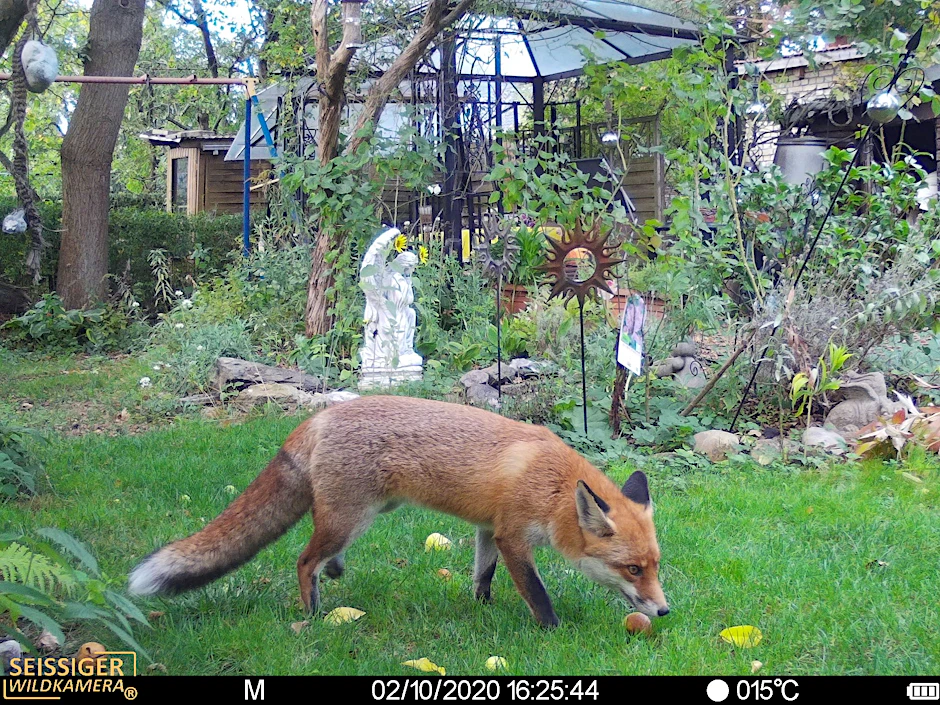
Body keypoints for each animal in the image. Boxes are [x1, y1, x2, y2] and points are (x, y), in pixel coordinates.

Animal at [128, 395, 669, 627]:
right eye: (632, 569)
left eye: (656, 567)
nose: (665, 610)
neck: (552, 485)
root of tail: (319, 417)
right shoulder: (513, 536)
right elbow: (537, 594)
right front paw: (551, 631)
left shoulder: (487, 529)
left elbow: (482, 576)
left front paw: (482, 610)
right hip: (352, 517)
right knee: (303, 560)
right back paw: (313, 614)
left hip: (357, 517)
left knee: (322, 555)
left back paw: (335, 574)